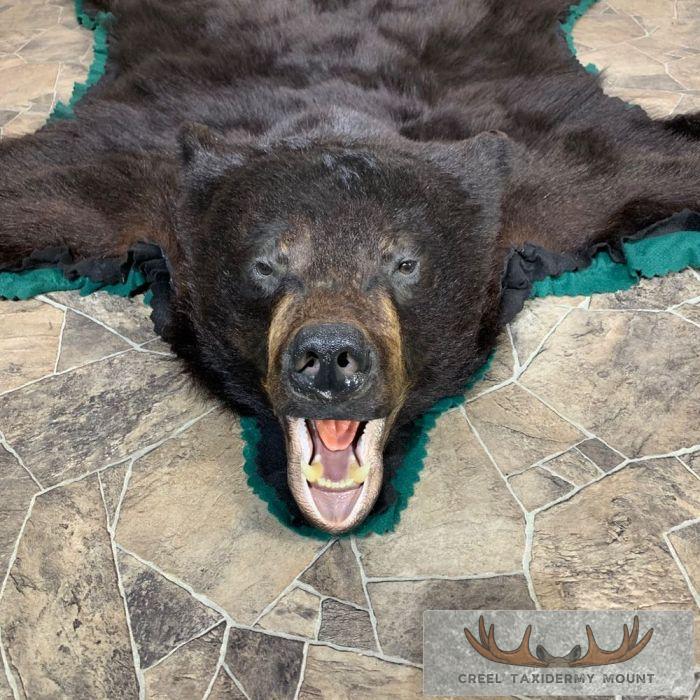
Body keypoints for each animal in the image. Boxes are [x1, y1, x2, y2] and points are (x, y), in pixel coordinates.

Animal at [0, 0, 699, 533]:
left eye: (405, 262)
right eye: (266, 263)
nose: (331, 355)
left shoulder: (556, 178)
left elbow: (653, 166)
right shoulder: (128, 178)